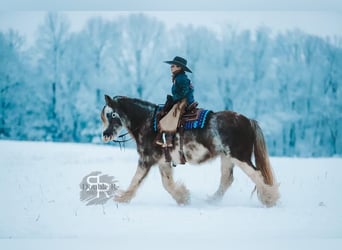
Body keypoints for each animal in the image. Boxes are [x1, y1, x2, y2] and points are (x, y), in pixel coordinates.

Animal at [100, 94, 280, 206]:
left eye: (112, 114)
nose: (105, 135)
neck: (149, 122)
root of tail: (248, 121)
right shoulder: (163, 162)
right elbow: (167, 183)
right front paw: (183, 198)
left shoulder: (146, 159)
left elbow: (136, 180)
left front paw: (122, 199)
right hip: (227, 158)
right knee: (226, 180)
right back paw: (212, 201)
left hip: (240, 157)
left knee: (257, 175)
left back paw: (270, 199)